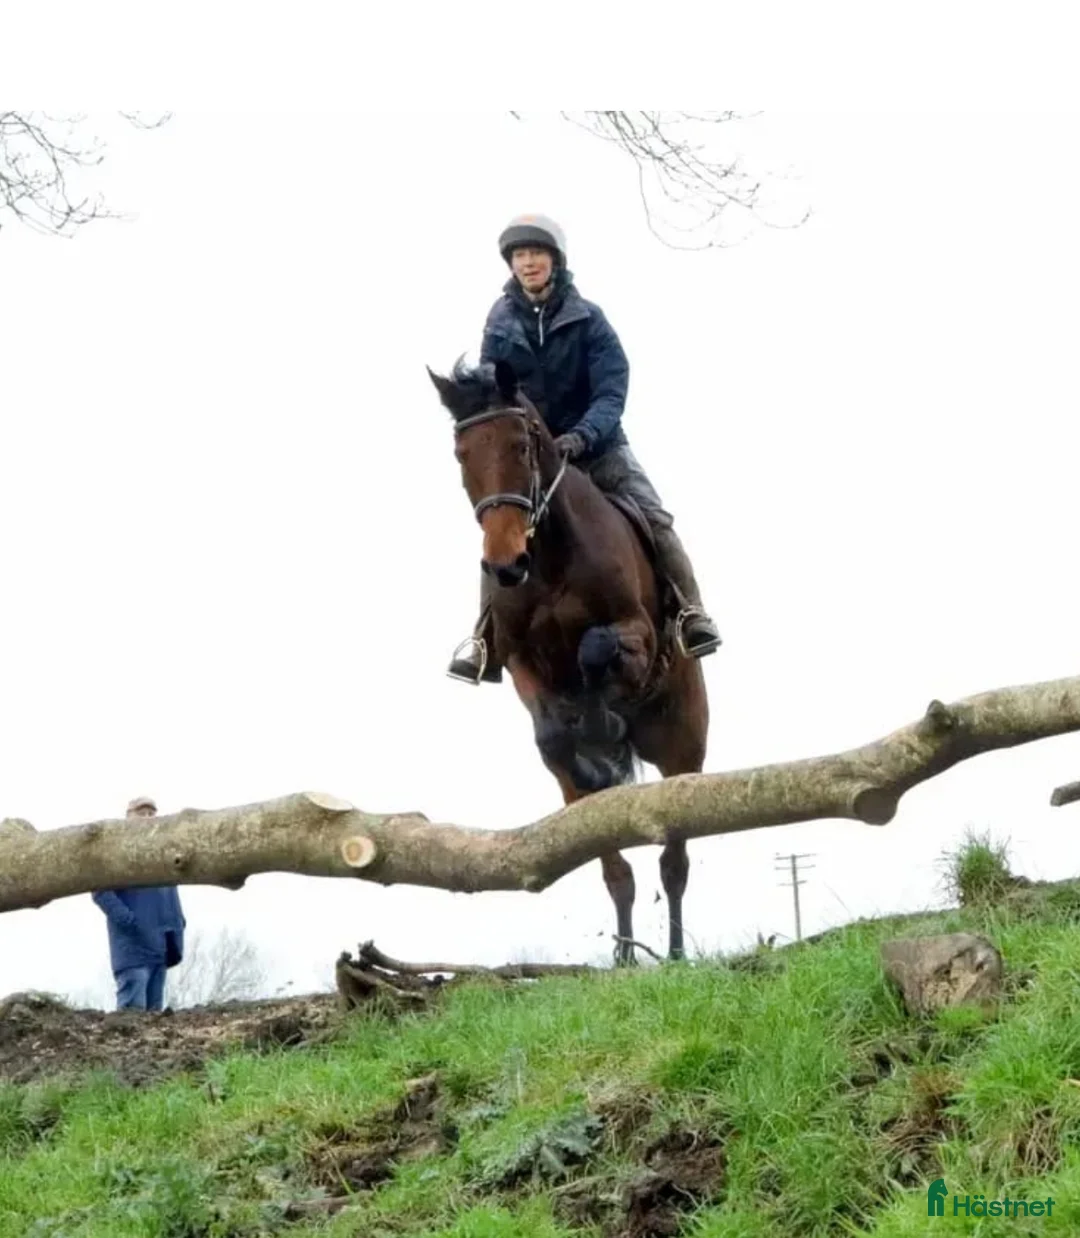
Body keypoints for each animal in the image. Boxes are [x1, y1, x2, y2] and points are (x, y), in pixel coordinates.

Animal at [428, 357, 710, 964]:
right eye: (462, 454)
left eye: (521, 445)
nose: (505, 564)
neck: (552, 556)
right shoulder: (518, 660)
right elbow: (552, 732)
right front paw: (591, 757)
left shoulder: (635, 633)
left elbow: (597, 649)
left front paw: (602, 724)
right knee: (616, 869)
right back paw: (625, 958)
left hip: (683, 749)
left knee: (674, 863)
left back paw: (675, 955)